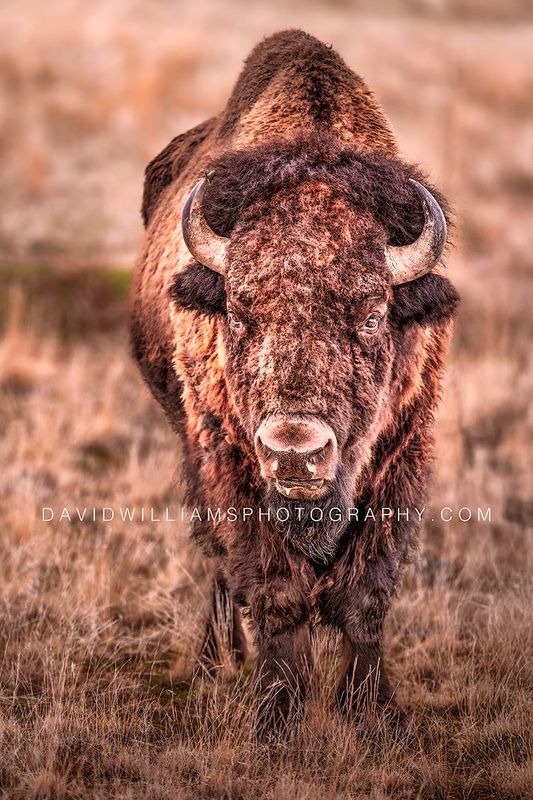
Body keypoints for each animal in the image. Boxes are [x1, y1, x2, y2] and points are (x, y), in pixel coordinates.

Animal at [131, 29, 459, 738]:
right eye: (237, 311)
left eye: (371, 314)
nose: (295, 451)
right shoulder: (230, 463)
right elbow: (276, 592)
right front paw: (277, 715)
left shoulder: (400, 457)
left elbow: (366, 596)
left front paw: (376, 715)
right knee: (221, 565)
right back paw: (214, 665)